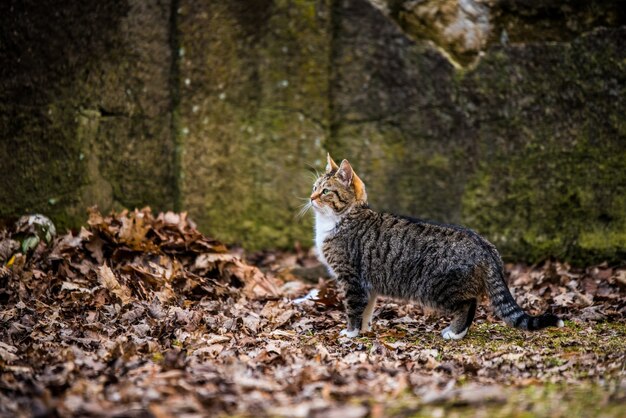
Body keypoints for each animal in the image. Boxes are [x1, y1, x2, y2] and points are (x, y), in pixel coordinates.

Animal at [310, 153, 564, 340]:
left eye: (326, 191)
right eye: (314, 187)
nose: (311, 198)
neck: (342, 218)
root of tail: (484, 245)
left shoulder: (351, 279)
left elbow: (353, 309)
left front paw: (351, 332)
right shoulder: (368, 285)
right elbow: (367, 310)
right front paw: (363, 330)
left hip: (438, 288)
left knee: (468, 305)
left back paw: (455, 333)